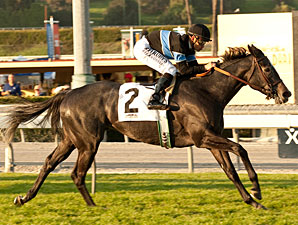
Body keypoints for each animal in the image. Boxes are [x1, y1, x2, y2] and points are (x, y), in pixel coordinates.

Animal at [4, 44, 292, 209]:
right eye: (267, 68)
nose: (286, 93)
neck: (206, 91)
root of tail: (68, 92)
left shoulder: (211, 139)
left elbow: (230, 170)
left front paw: (252, 202)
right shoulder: (203, 137)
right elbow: (241, 149)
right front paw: (256, 189)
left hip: (71, 139)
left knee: (50, 162)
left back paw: (25, 198)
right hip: (88, 141)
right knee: (77, 173)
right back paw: (94, 206)